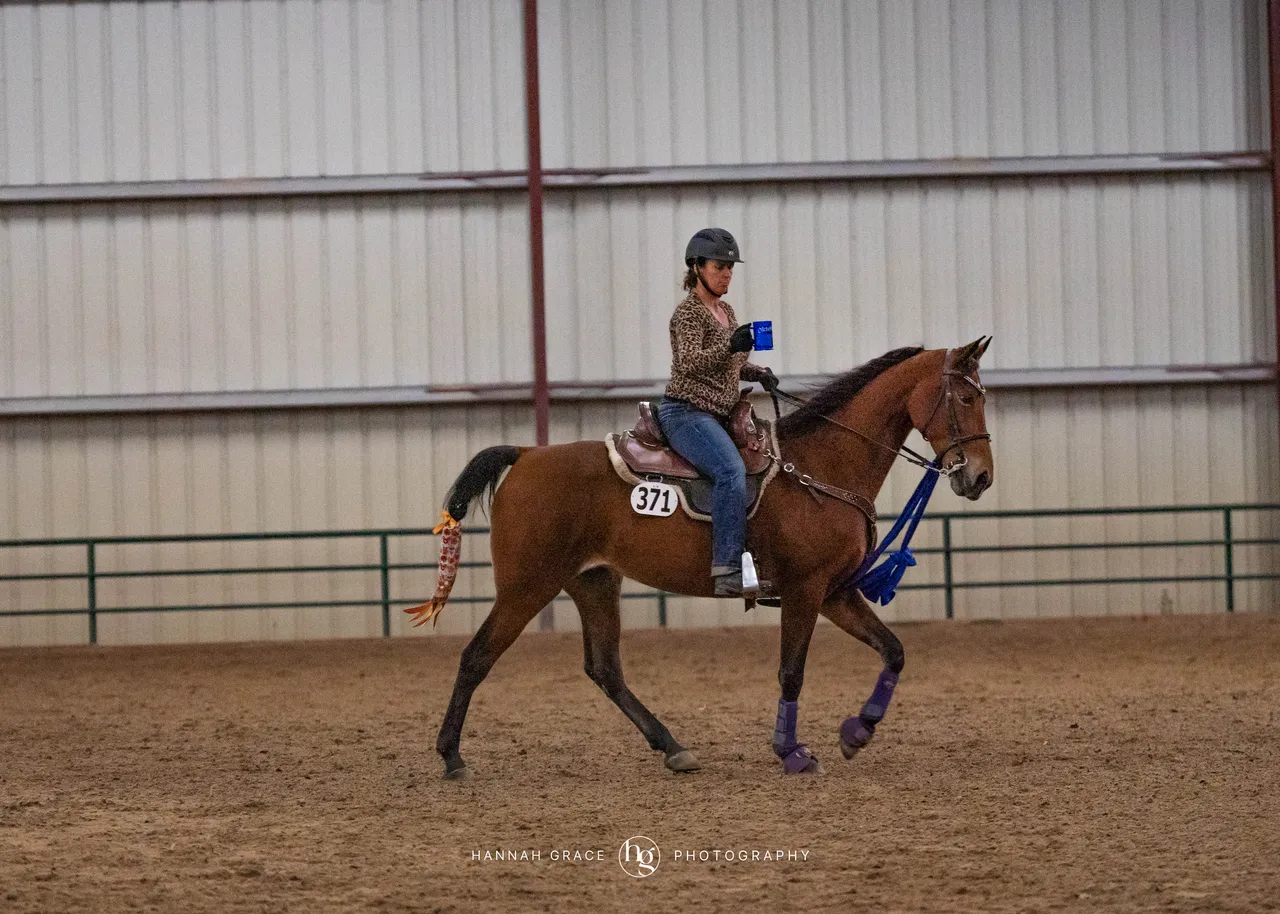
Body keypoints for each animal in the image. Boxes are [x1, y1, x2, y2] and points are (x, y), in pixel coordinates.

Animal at [410, 338, 994, 779]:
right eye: (966, 397)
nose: (981, 475)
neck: (821, 467)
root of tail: (527, 454)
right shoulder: (805, 591)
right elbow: (791, 672)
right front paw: (792, 752)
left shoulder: (836, 592)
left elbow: (893, 650)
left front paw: (859, 731)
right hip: (527, 586)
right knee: (477, 657)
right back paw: (452, 757)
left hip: (594, 582)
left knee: (605, 669)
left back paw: (673, 748)